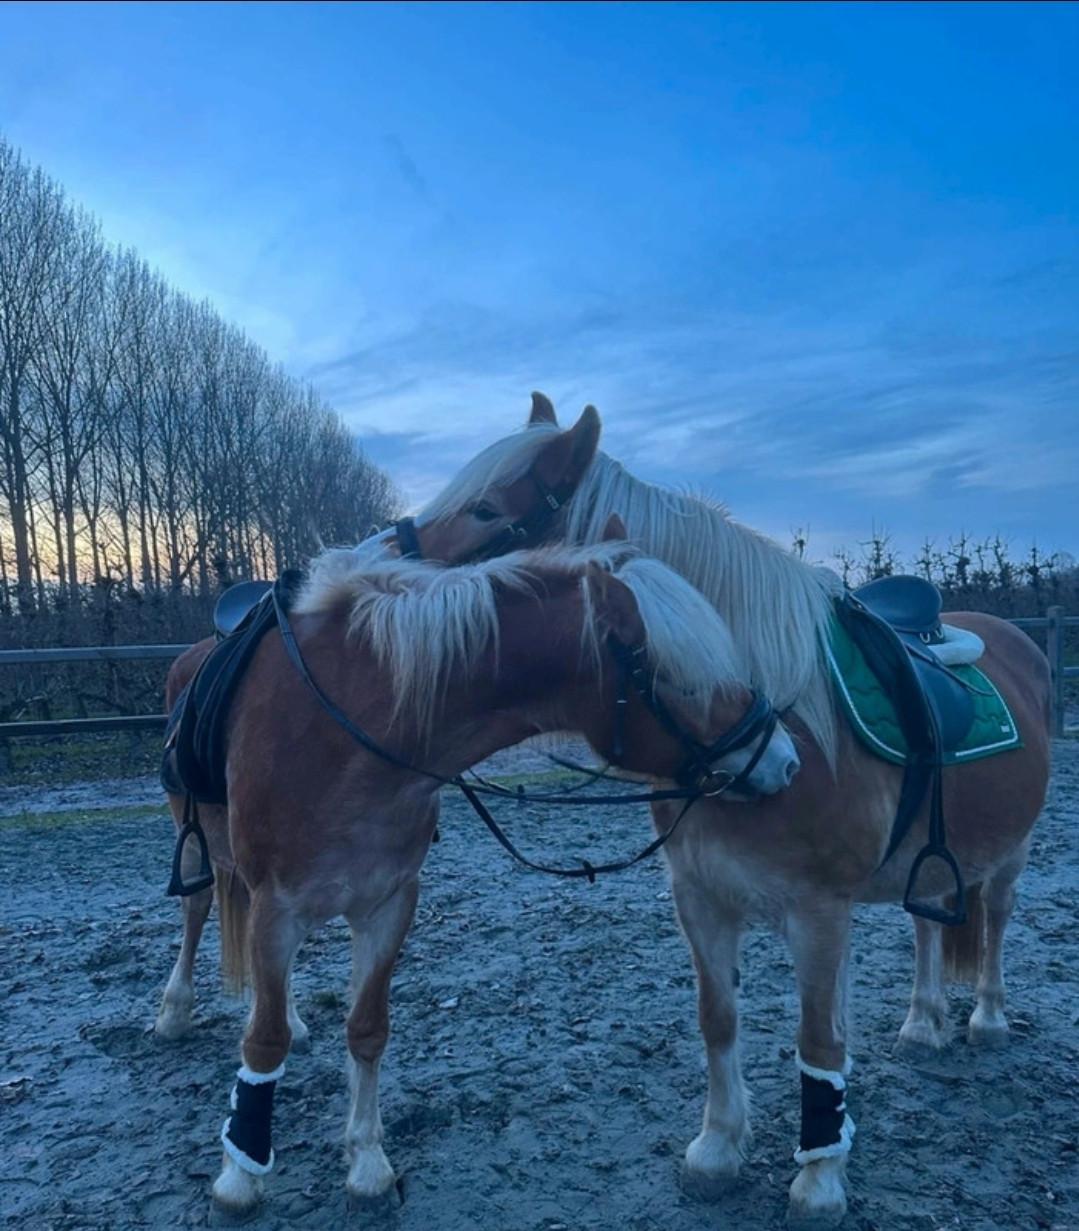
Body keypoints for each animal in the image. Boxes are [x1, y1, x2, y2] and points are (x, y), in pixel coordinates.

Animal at [156, 541, 800, 1213]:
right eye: (685, 681)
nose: (784, 760)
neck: (350, 726)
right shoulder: (277, 907)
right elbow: (264, 1042)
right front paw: (240, 1176)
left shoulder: (387, 903)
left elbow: (366, 1029)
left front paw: (368, 1163)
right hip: (202, 850)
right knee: (198, 914)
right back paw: (174, 1011)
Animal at [387, 393, 1053, 1227]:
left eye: (484, 510)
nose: (381, 573)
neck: (771, 732)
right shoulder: (698, 897)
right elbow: (718, 1019)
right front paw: (717, 1148)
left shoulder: (818, 911)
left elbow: (817, 1037)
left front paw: (818, 1177)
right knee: (927, 921)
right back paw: (921, 1022)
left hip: (1010, 851)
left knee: (992, 917)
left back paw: (984, 1018)